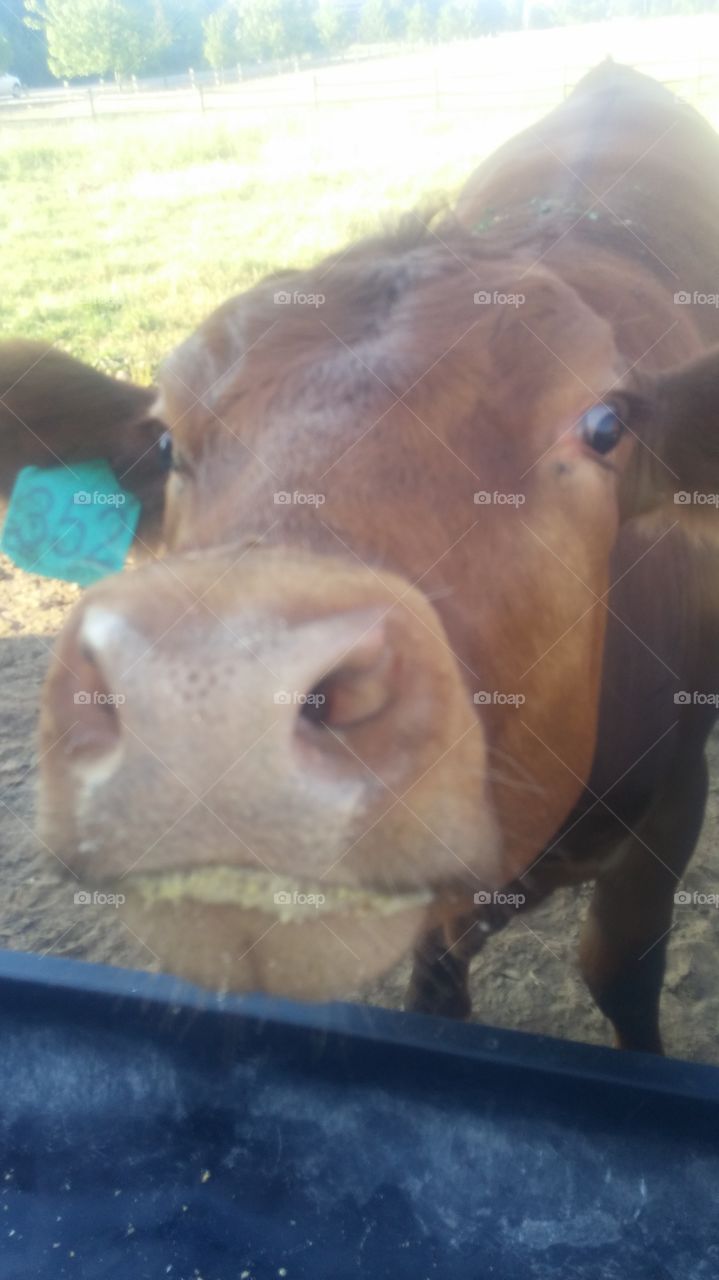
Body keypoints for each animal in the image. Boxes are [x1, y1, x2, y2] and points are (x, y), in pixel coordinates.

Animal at [2, 61, 719, 1053]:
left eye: (604, 428)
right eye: (164, 444)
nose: (211, 701)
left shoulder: (674, 796)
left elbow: (621, 970)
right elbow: (437, 990)